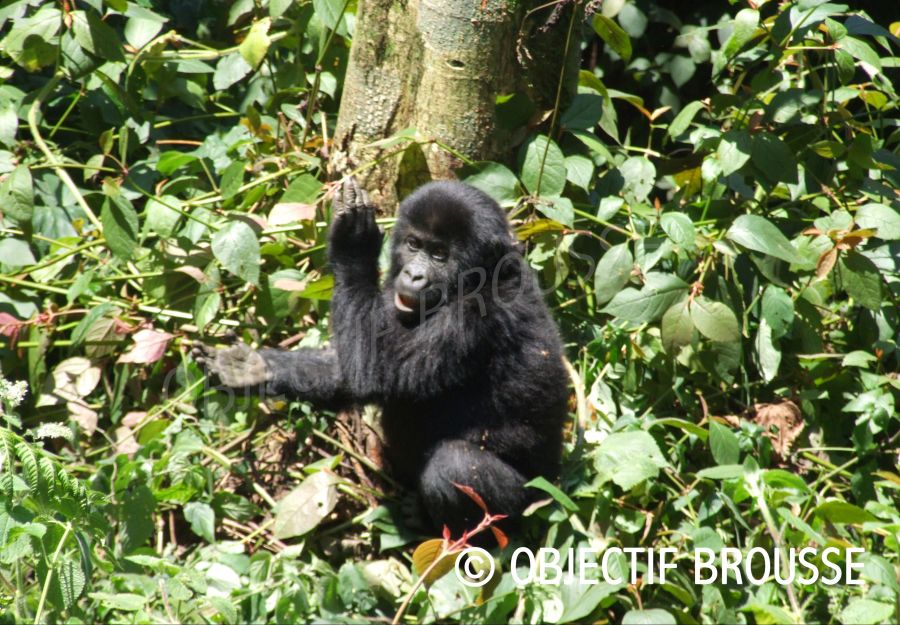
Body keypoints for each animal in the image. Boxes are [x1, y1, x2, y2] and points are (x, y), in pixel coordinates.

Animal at [193, 177, 568, 536]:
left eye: (440, 254)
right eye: (414, 245)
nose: (414, 275)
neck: (484, 275)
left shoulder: (471, 318)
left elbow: (374, 371)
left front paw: (353, 243)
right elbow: (352, 366)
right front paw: (253, 369)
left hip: (532, 506)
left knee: (456, 464)